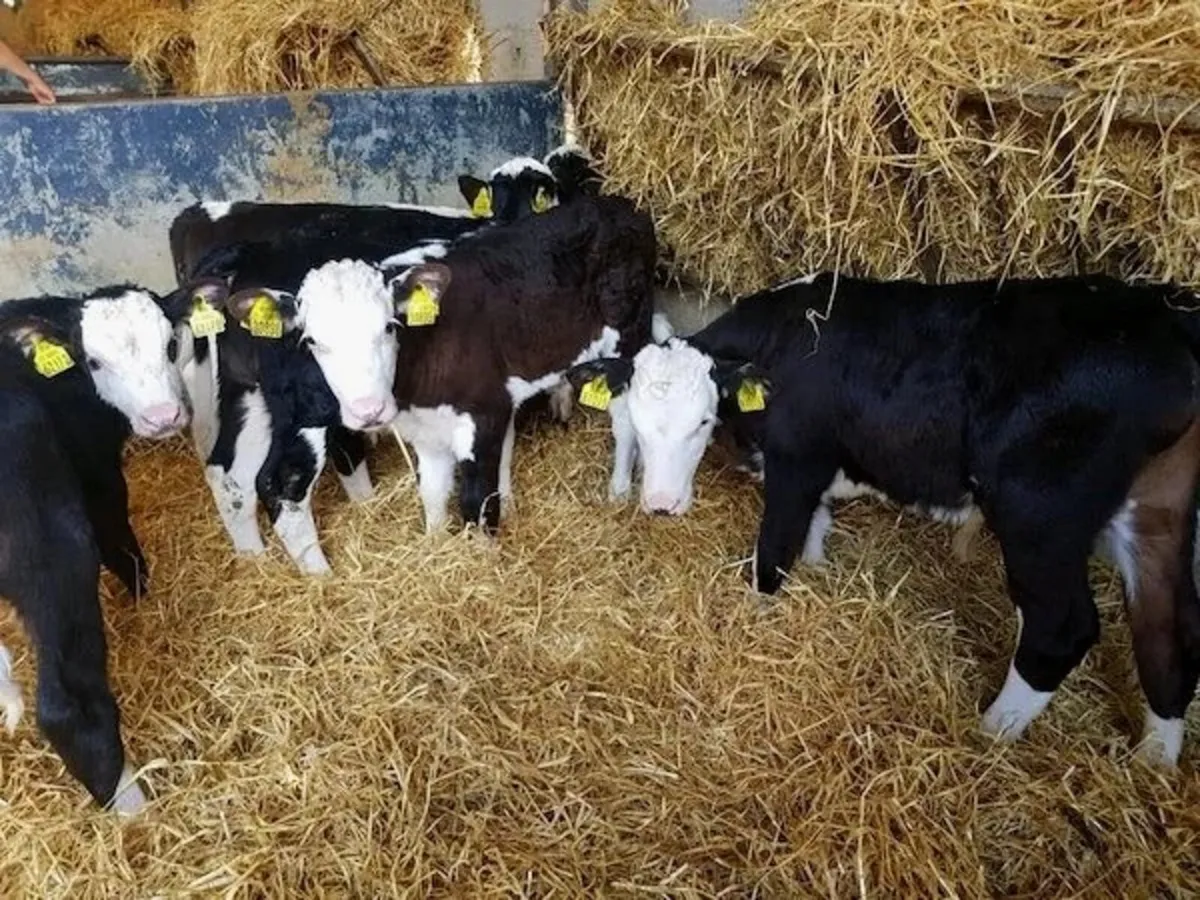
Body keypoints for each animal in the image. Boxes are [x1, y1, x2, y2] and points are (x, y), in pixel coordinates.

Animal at [0, 284, 194, 813]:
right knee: (66, 705)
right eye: (94, 361)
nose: (163, 418)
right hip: (52, 549)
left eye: (171, 344)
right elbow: (119, 543)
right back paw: (129, 802)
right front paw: (144, 594)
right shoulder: (98, 477)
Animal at [568, 271, 1200, 767]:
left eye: (703, 421)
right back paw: (1153, 764)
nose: (661, 504)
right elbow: (815, 531)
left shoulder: (797, 461)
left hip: (1039, 515)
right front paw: (819, 573)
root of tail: (1172, 326)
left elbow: (773, 555)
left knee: (1060, 629)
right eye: (638, 423)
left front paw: (758, 618)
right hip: (1158, 515)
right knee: (1167, 630)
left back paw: (990, 734)